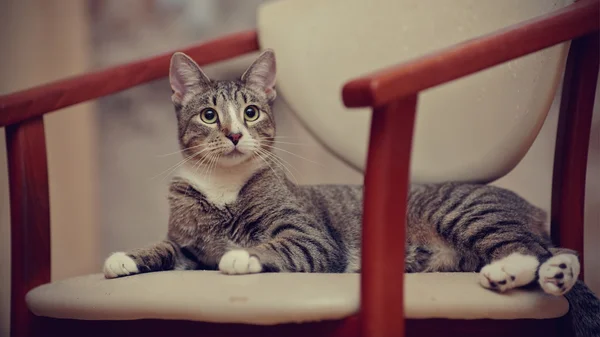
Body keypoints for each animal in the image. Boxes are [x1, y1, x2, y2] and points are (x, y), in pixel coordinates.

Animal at [104, 49, 600, 334]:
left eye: (250, 112)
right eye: (209, 116)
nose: (234, 134)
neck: (224, 186)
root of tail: (530, 206)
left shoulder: (311, 237)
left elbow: (277, 245)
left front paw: (242, 256)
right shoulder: (189, 247)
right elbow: (164, 248)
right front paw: (125, 257)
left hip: (464, 212)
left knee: (533, 248)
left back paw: (519, 271)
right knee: (556, 252)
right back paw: (549, 274)